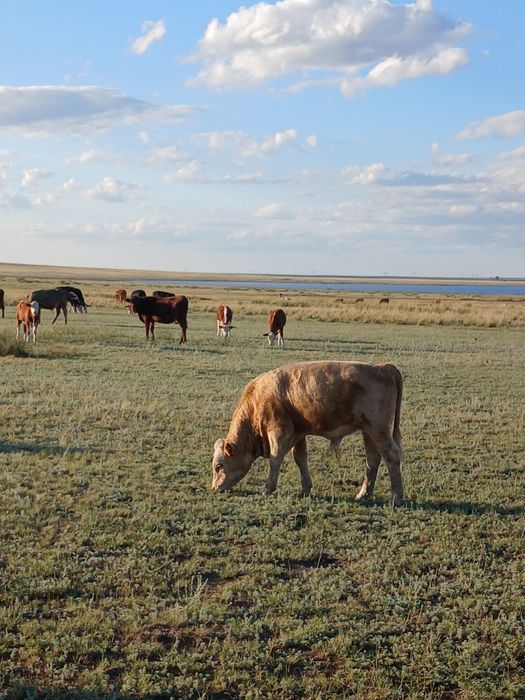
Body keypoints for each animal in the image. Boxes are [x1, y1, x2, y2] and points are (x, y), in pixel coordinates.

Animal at [212, 361, 404, 506]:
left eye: (218, 466)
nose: (214, 488)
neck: (257, 400)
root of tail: (383, 367)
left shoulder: (279, 432)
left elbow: (275, 459)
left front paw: (267, 489)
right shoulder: (299, 433)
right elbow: (300, 458)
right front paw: (305, 489)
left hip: (378, 429)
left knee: (391, 456)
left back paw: (396, 497)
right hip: (368, 431)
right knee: (373, 459)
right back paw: (364, 494)